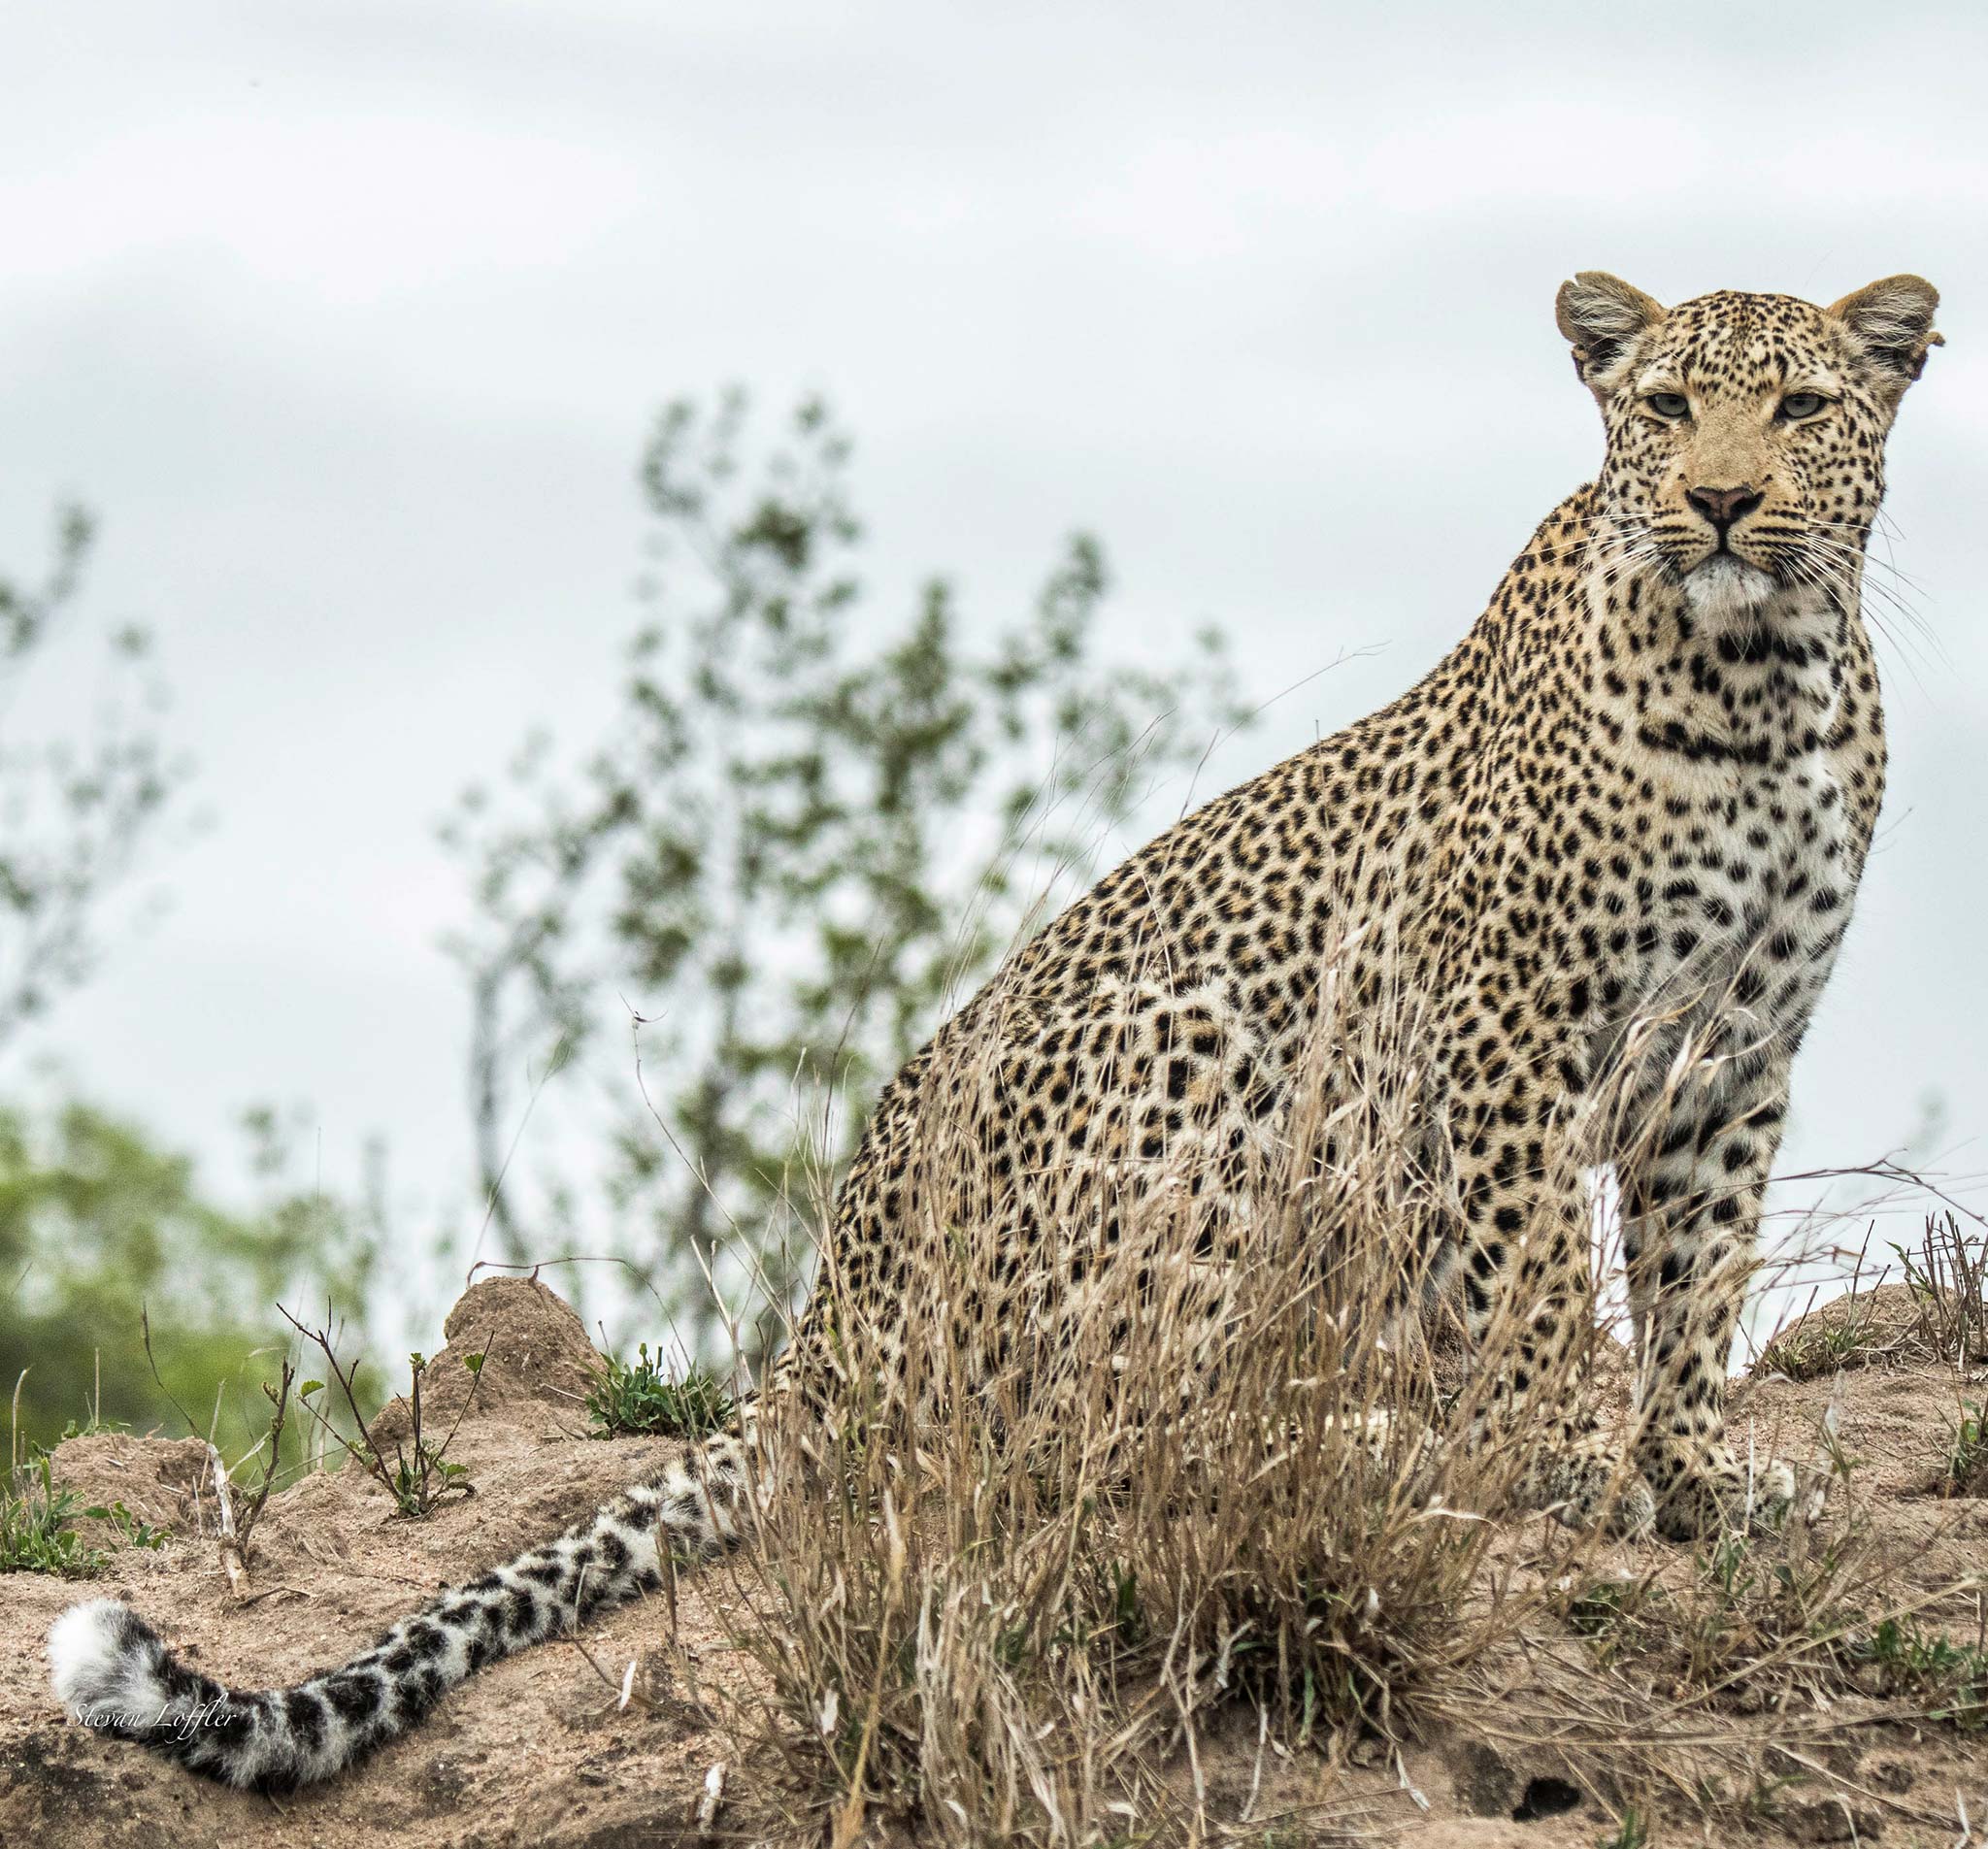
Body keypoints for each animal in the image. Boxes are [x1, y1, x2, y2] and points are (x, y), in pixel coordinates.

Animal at [47, 262, 1939, 1789]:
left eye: (1801, 409)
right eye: (1664, 406)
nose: (1717, 501)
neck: (1761, 682)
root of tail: (822, 1322)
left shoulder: (1733, 1060)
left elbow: (1696, 1286)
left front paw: (1699, 1471)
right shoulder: (1512, 1031)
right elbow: (1541, 1274)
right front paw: (1556, 1456)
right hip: (1203, 1053)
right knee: (1075, 1435)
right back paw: (1365, 1439)